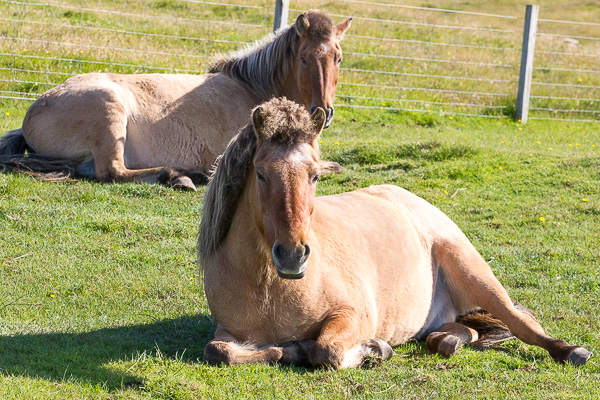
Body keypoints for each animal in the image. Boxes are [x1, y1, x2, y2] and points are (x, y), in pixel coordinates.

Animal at [0, 9, 352, 191]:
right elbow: (330, 167)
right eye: (304, 59)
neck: (254, 90)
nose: (323, 111)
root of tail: (33, 112)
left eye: (338, 57)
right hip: (109, 110)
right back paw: (181, 176)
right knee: (113, 172)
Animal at [198, 98, 592, 370]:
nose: (293, 256)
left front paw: (374, 349)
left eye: (314, 176)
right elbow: (218, 351)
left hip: (474, 273)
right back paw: (447, 341)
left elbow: (327, 350)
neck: (269, 286)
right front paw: (293, 349)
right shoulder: (228, 331)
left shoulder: (353, 315)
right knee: (466, 331)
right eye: (261, 174)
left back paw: (570, 351)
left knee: (520, 321)